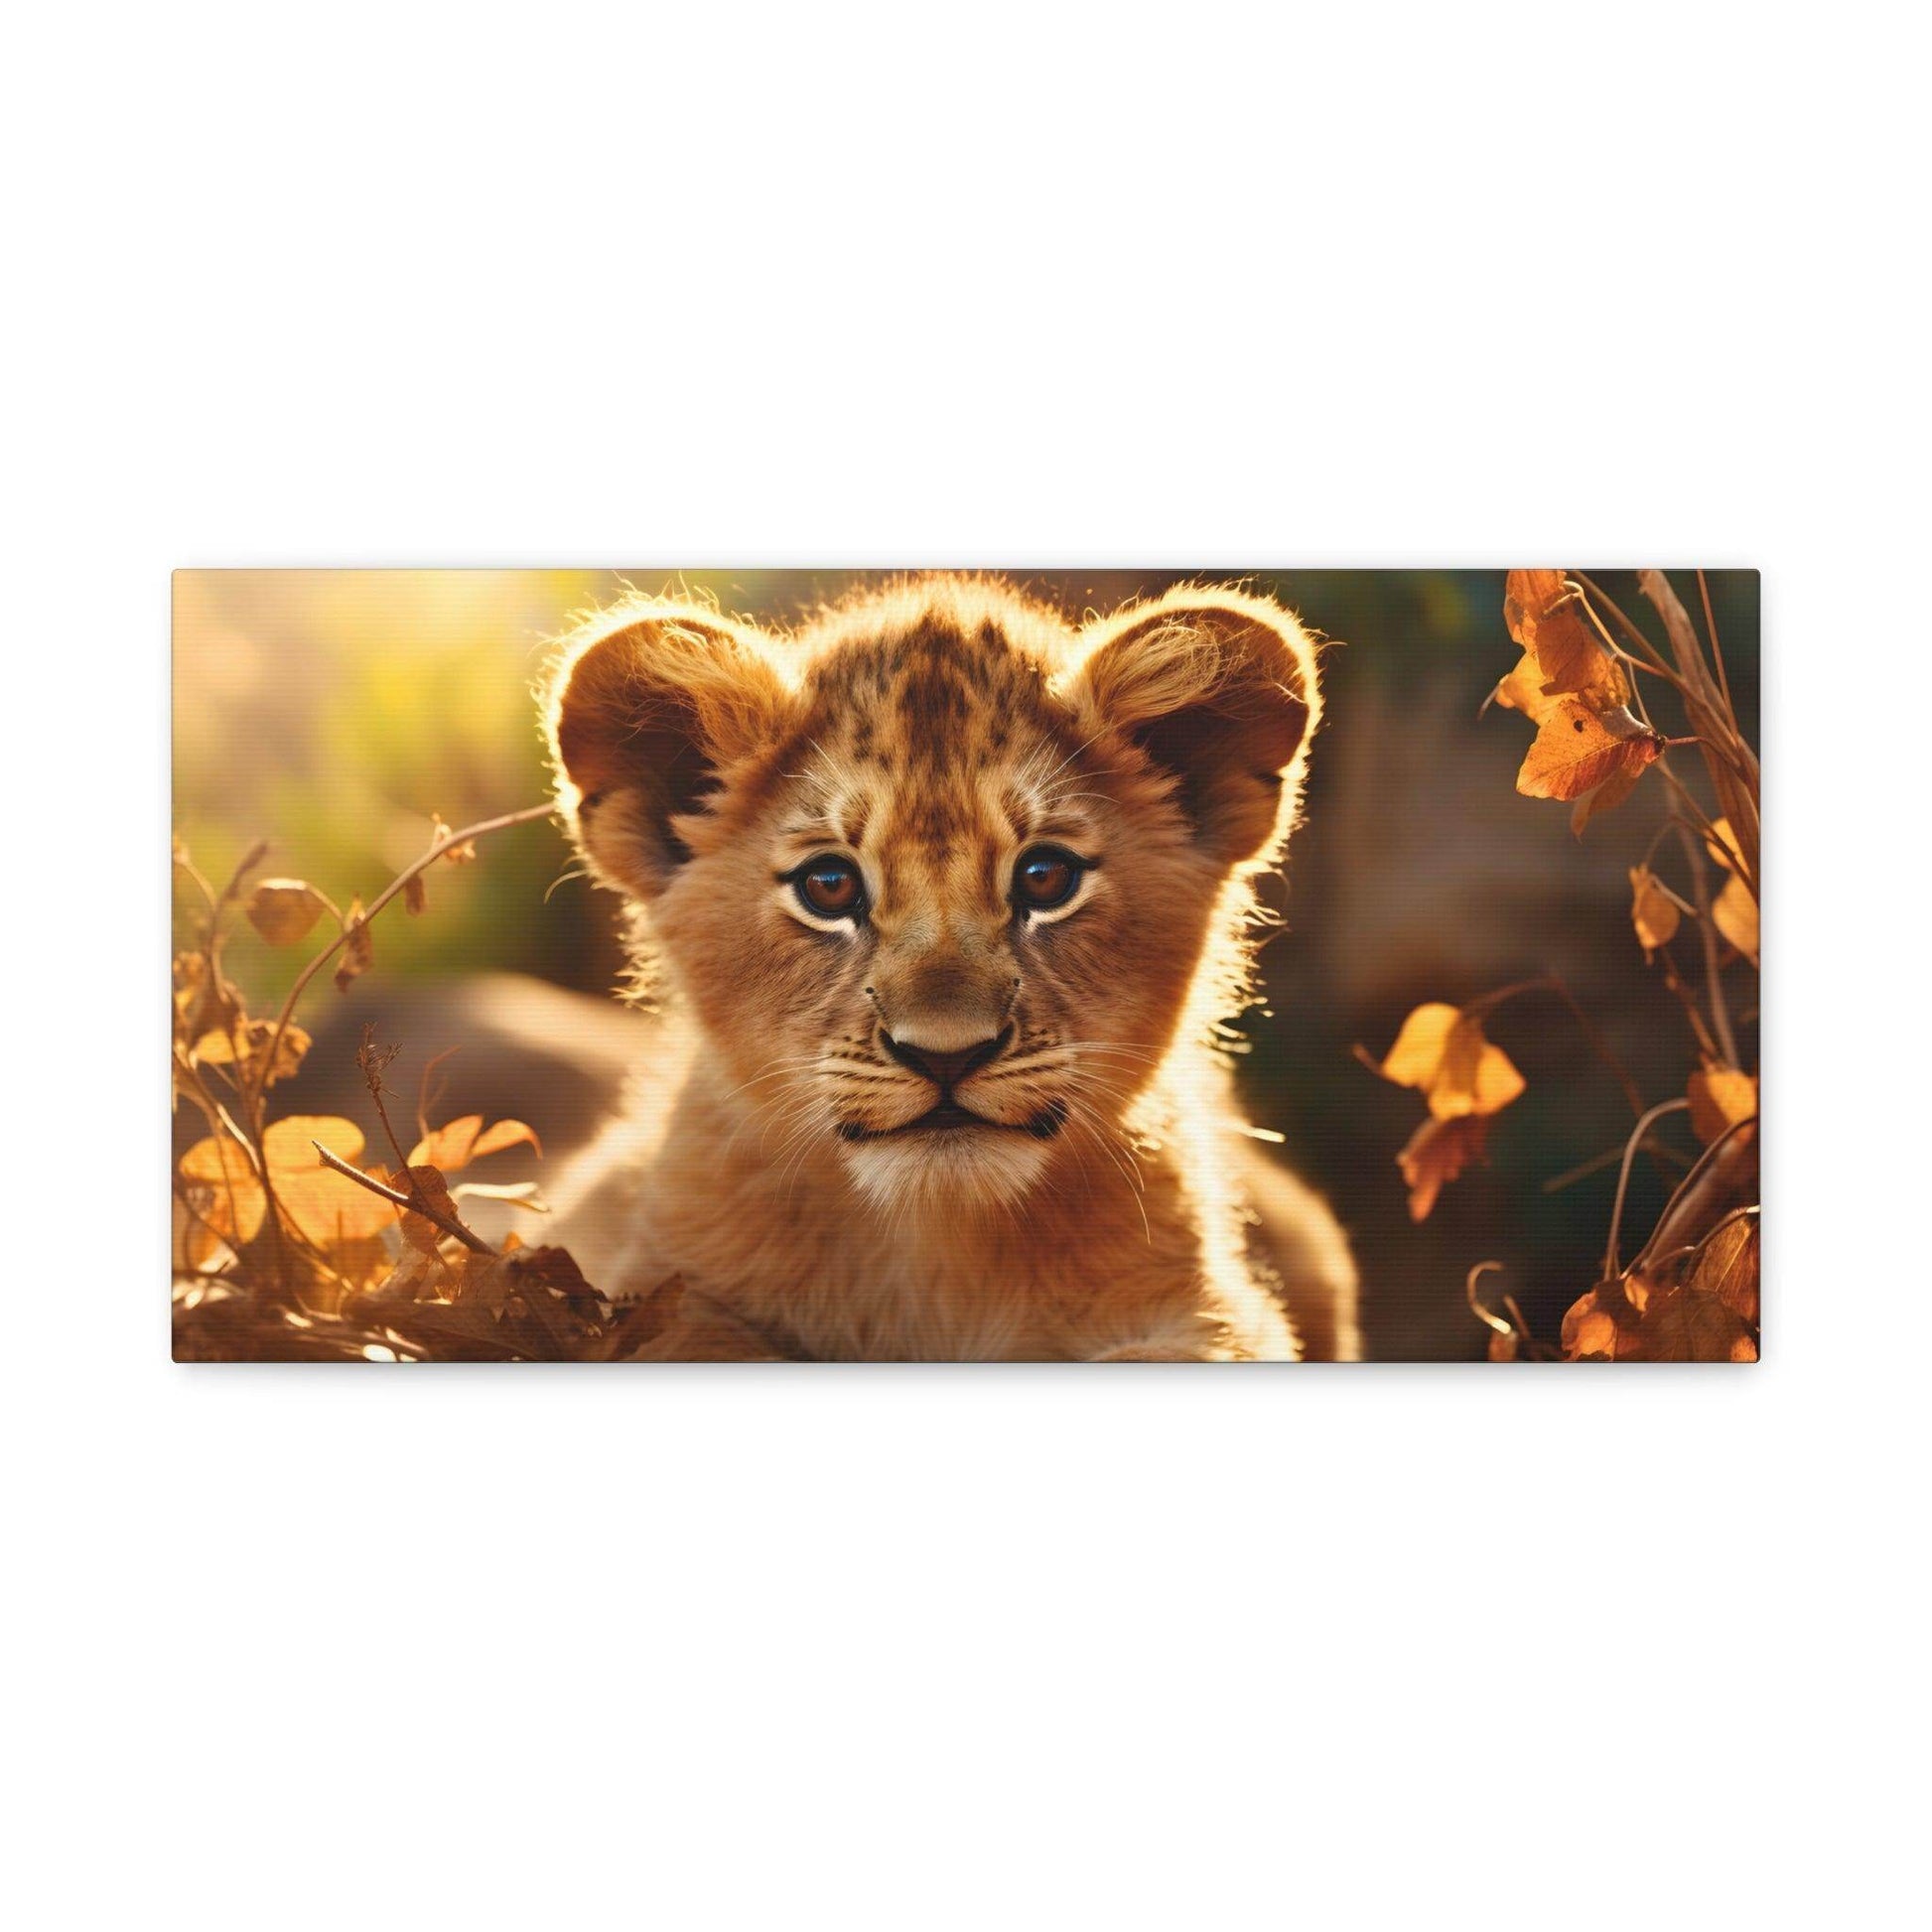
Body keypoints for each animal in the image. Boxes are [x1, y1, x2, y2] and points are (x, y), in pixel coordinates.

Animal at [542, 574, 1359, 1360]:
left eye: (1045, 878)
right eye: (828, 885)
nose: (946, 1055)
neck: (936, 1250)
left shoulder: (1212, 1314)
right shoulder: (648, 1294)